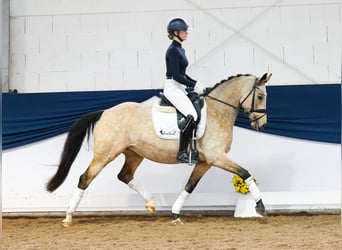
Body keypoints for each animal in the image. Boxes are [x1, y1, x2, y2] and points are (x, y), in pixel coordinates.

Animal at [46, 72, 272, 227]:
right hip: (105, 154)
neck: (218, 110)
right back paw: (68, 217)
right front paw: (260, 207)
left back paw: (151, 203)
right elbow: (245, 173)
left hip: (134, 154)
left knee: (124, 175)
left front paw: (175, 214)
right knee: (85, 178)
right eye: (261, 96)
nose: (262, 124)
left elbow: (190, 186)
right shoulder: (217, 157)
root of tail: (105, 112)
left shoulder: (205, 162)